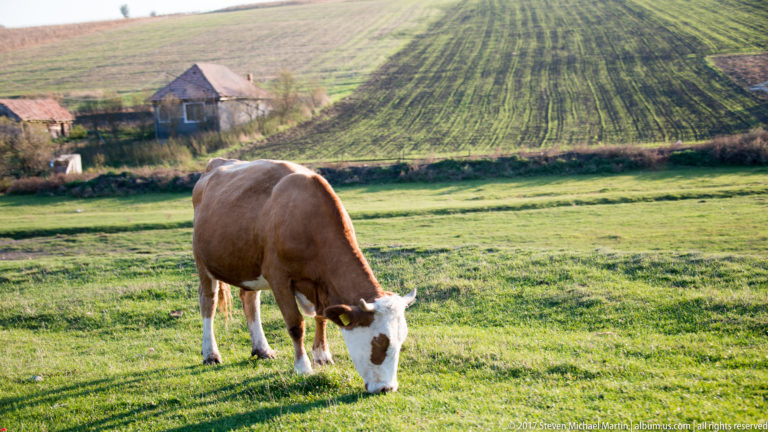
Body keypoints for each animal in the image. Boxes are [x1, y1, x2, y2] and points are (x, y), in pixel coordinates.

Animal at [192, 158, 416, 394]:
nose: (387, 388)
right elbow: (296, 324)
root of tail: (216, 164)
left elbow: (322, 317)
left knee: (250, 300)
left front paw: (322, 356)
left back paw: (262, 349)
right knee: (208, 302)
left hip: (248, 263)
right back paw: (211, 353)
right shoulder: (279, 278)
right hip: (202, 262)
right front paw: (303, 367)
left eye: (401, 339)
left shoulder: (320, 283)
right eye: (380, 341)